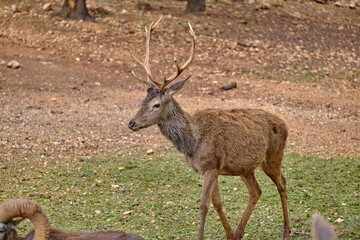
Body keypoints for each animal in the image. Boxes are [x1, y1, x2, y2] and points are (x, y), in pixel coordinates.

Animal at [128, 15, 292, 239]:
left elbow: (204, 205)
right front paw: (229, 234)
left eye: (156, 104)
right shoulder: (212, 168)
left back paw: (286, 231)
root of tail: (285, 125)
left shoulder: (211, 165)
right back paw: (239, 232)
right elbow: (217, 202)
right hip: (246, 167)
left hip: (273, 157)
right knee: (256, 191)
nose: (132, 123)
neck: (193, 142)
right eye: (142, 101)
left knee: (282, 183)